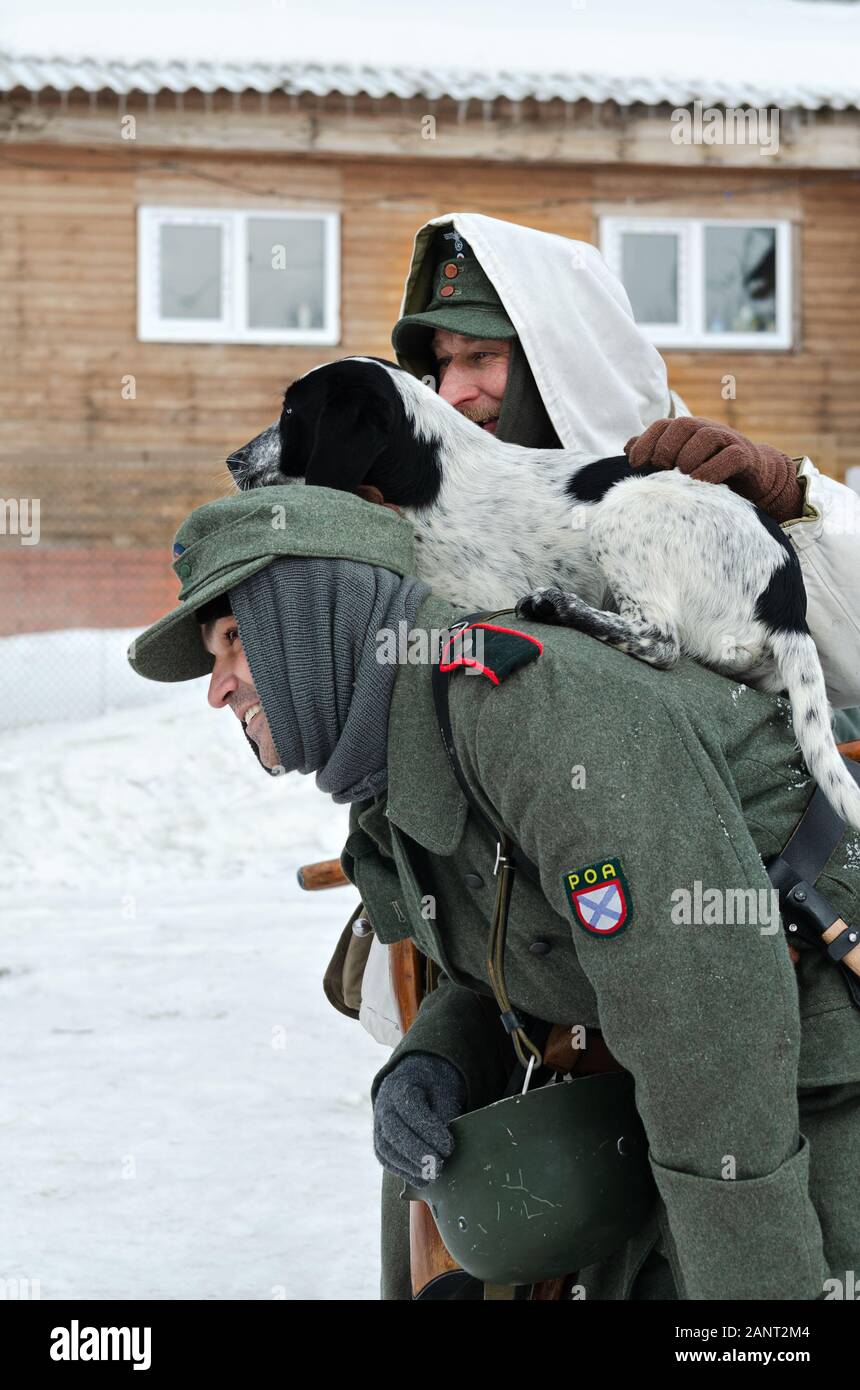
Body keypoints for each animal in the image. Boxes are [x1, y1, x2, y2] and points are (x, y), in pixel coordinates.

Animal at [226, 361, 860, 834]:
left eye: (292, 412)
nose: (233, 459)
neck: (426, 477)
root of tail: (788, 597)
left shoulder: (473, 591)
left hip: (624, 509)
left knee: (659, 640)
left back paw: (555, 605)